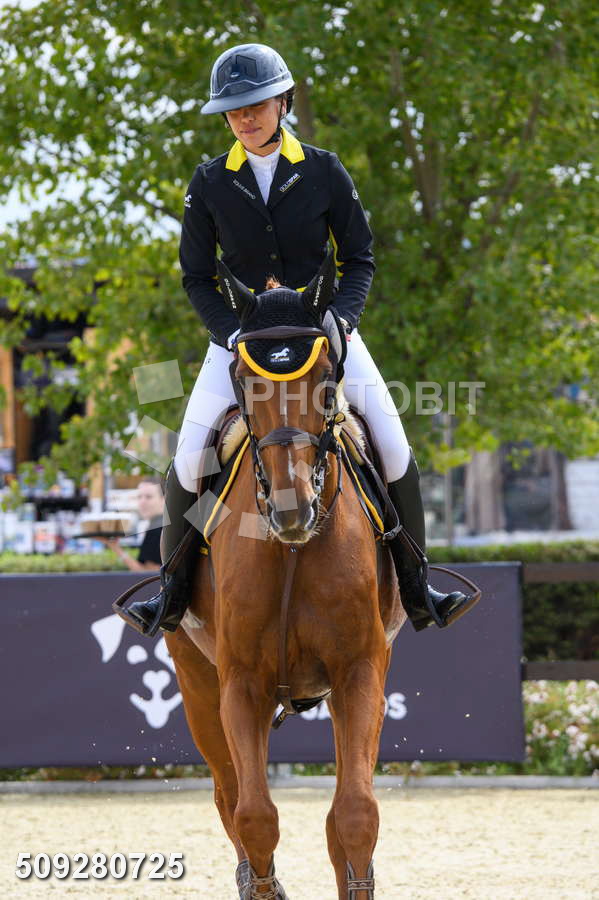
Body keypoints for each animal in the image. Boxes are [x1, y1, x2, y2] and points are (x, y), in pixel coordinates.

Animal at [163, 254, 404, 899]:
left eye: (325, 378)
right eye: (244, 382)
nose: (291, 511)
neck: (293, 553)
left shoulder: (358, 670)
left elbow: (355, 815)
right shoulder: (240, 683)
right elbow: (254, 816)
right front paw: (263, 883)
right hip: (198, 684)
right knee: (228, 797)